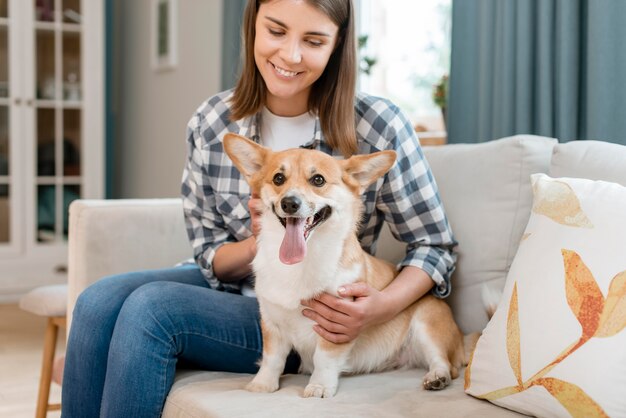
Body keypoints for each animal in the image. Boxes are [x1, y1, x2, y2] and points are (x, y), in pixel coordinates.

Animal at [222, 134, 466, 398]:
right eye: (278, 178)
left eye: (318, 180)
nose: (289, 203)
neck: (302, 262)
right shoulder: (271, 322)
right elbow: (272, 358)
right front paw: (263, 384)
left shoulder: (337, 325)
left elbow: (324, 358)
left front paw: (319, 386)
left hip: (427, 325)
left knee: (445, 362)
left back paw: (437, 377)